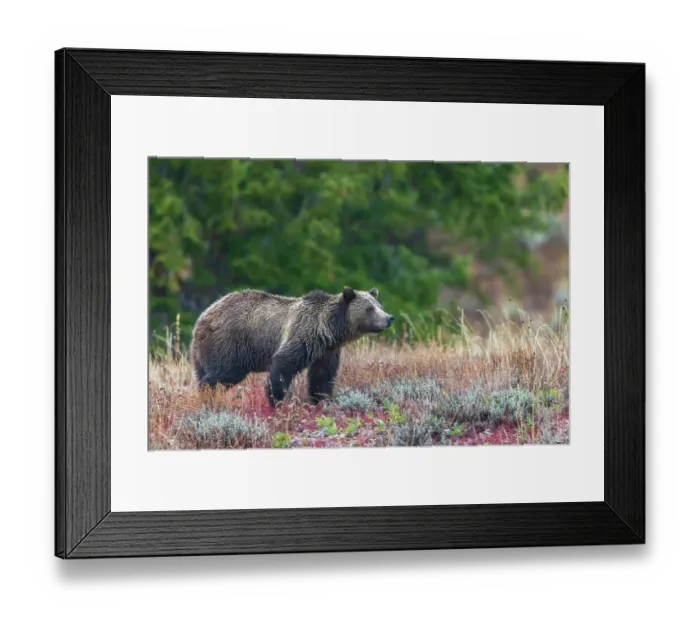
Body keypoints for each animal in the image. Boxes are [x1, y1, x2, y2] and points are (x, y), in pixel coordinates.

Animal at [190, 286, 394, 407]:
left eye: (380, 306)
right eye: (370, 309)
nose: (389, 318)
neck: (329, 330)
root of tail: (203, 318)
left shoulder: (327, 351)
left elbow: (322, 376)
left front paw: (322, 400)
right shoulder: (303, 334)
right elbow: (284, 364)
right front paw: (276, 400)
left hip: (204, 352)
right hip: (231, 343)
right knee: (225, 373)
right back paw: (207, 395)